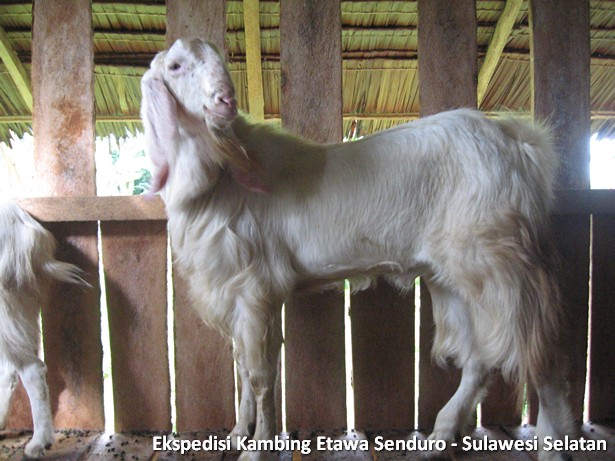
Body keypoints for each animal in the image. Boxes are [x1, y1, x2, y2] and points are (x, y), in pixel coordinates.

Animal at [142, 37, 576, 458]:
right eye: (176, 66)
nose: (225, 102)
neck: (221, 175)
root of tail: (517, 142)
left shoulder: (255, 289)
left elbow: (261, 375)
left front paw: (257, 449)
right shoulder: (237, 293)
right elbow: (244, 370)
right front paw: (236, 435)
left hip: (500, 262)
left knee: (541, 355)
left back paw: (554, 446)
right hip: (453, 277)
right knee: (479, 359)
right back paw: (439, 437)